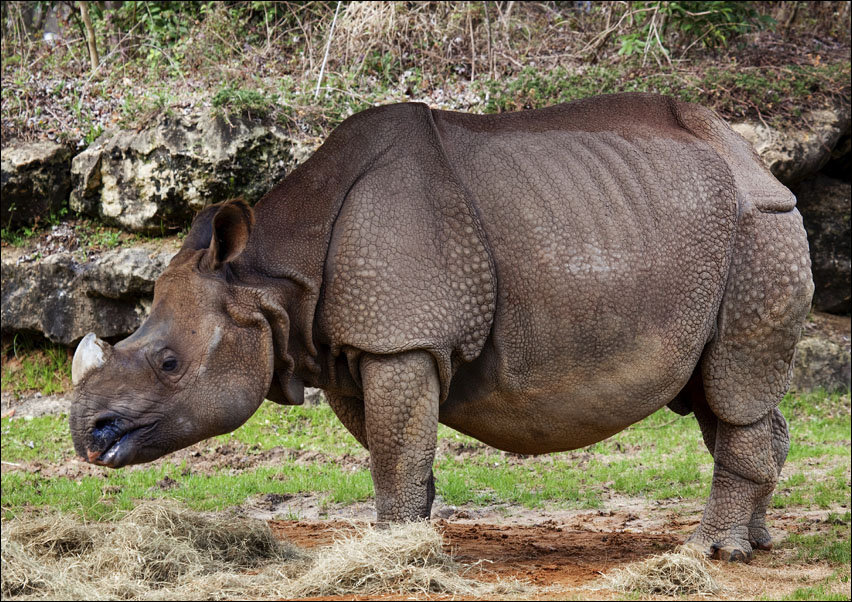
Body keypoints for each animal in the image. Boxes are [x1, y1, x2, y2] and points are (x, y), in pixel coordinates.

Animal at [70, 93, 813, 562]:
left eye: (169, 363)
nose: (88, 437)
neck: (270, 280)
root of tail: (754, 159)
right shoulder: (348, 347)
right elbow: (392, 446)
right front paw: (412, 536)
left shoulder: (401, 339)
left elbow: (394, 448)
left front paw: (393, 549)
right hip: (706, 235)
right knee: (719, 393)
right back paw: (757, 543)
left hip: (760, 232)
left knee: (734, 387)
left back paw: (711, 553)